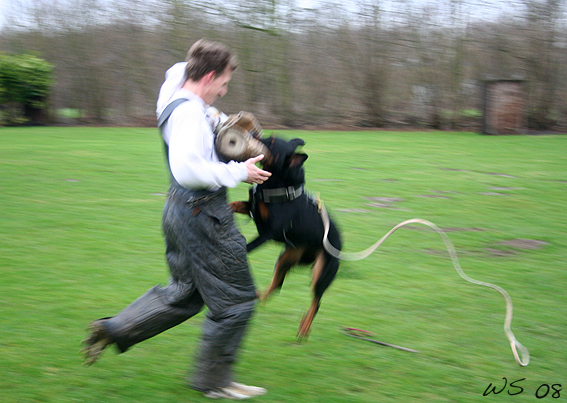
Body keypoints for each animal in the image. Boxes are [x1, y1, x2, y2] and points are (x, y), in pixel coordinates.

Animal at [231, 137, 342, 340]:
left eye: (272, 143)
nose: (255, 136)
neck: (276, 184)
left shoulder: (269, 232)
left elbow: (247, 245)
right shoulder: (253, 209)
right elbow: (234, 204)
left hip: (321, 273)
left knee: (316, 301)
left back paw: (304, 327)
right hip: (286, 258)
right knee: (277, 284)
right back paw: (258, 296)